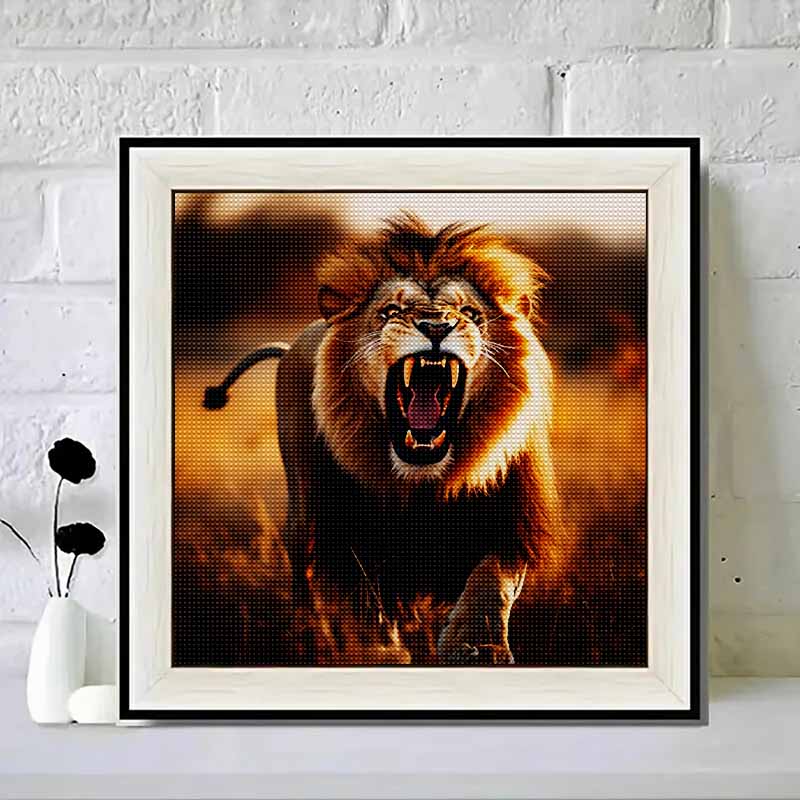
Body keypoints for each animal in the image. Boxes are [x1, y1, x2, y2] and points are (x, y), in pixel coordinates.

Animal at [204, 214, 563, 665]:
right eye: (391, 311)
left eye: (470, 313)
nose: (436, 326)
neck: (424, 478)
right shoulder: (351, 527)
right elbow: (364, 596)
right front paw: (380, 650)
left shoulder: (512, 517)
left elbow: (491, 581)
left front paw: (480, 647)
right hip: (303, 510)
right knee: (303, 574)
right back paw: (308, 632)